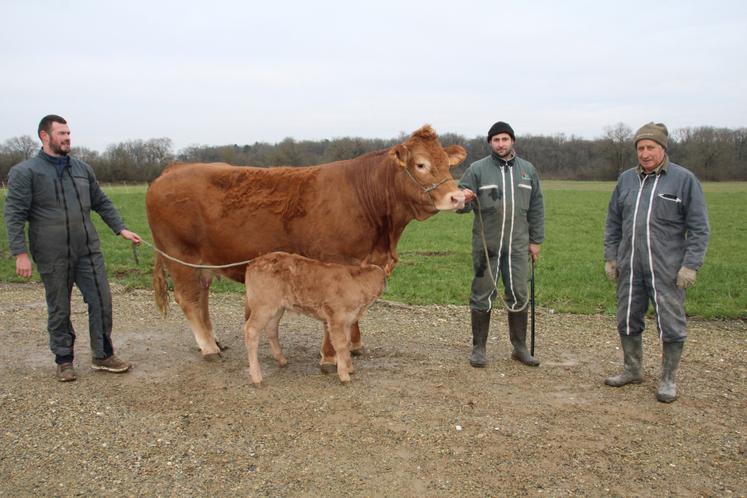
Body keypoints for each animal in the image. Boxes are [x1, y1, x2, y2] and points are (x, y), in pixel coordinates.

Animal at [147, 124, 468, 370]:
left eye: (447, 163)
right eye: (421, 164)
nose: (458, 197)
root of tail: (174, 169)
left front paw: (354, 345)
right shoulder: (336, 262)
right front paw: (330, 356)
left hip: (202, 263)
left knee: (201, 298)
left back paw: (214, 341)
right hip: (180, 256)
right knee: (188, 299)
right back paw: (209, 348)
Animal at [244, 253, 386, 386]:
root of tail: (254, 262)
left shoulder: (348, 320)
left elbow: (347, 343)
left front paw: (349, 368)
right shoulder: (335, 316)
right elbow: (340, 345)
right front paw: (344, 376)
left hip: (277, 308)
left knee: (272, 329)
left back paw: (282, 360)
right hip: (263, 305)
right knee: (251, 330)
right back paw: (256, 378)